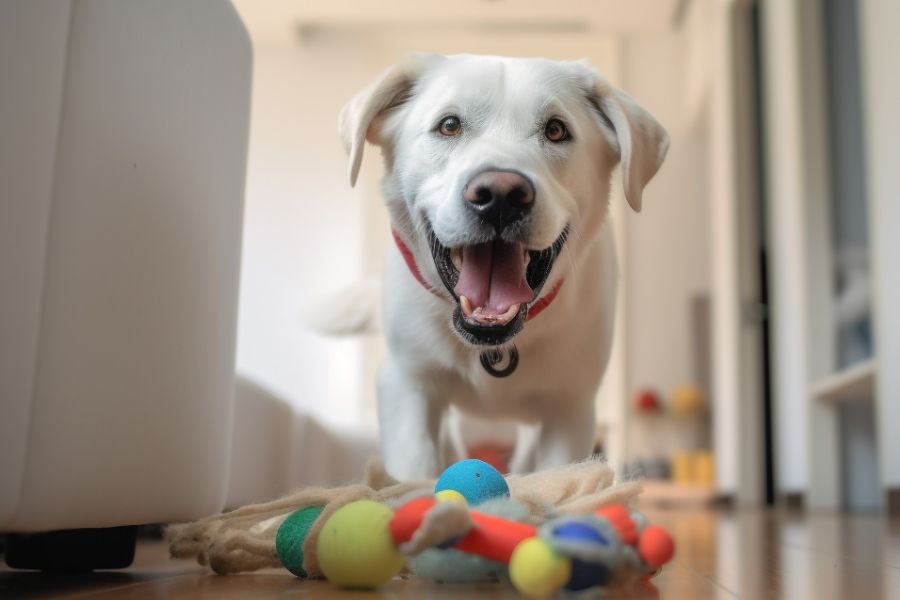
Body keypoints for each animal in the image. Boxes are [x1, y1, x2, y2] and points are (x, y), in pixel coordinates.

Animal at [338, 54, 668, 480]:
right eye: (449, 125)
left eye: (556, 130)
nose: (500, 195)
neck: (492, 348)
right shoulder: (407, 385)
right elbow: (414, 471)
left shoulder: (570, 407)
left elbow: (557, 475)